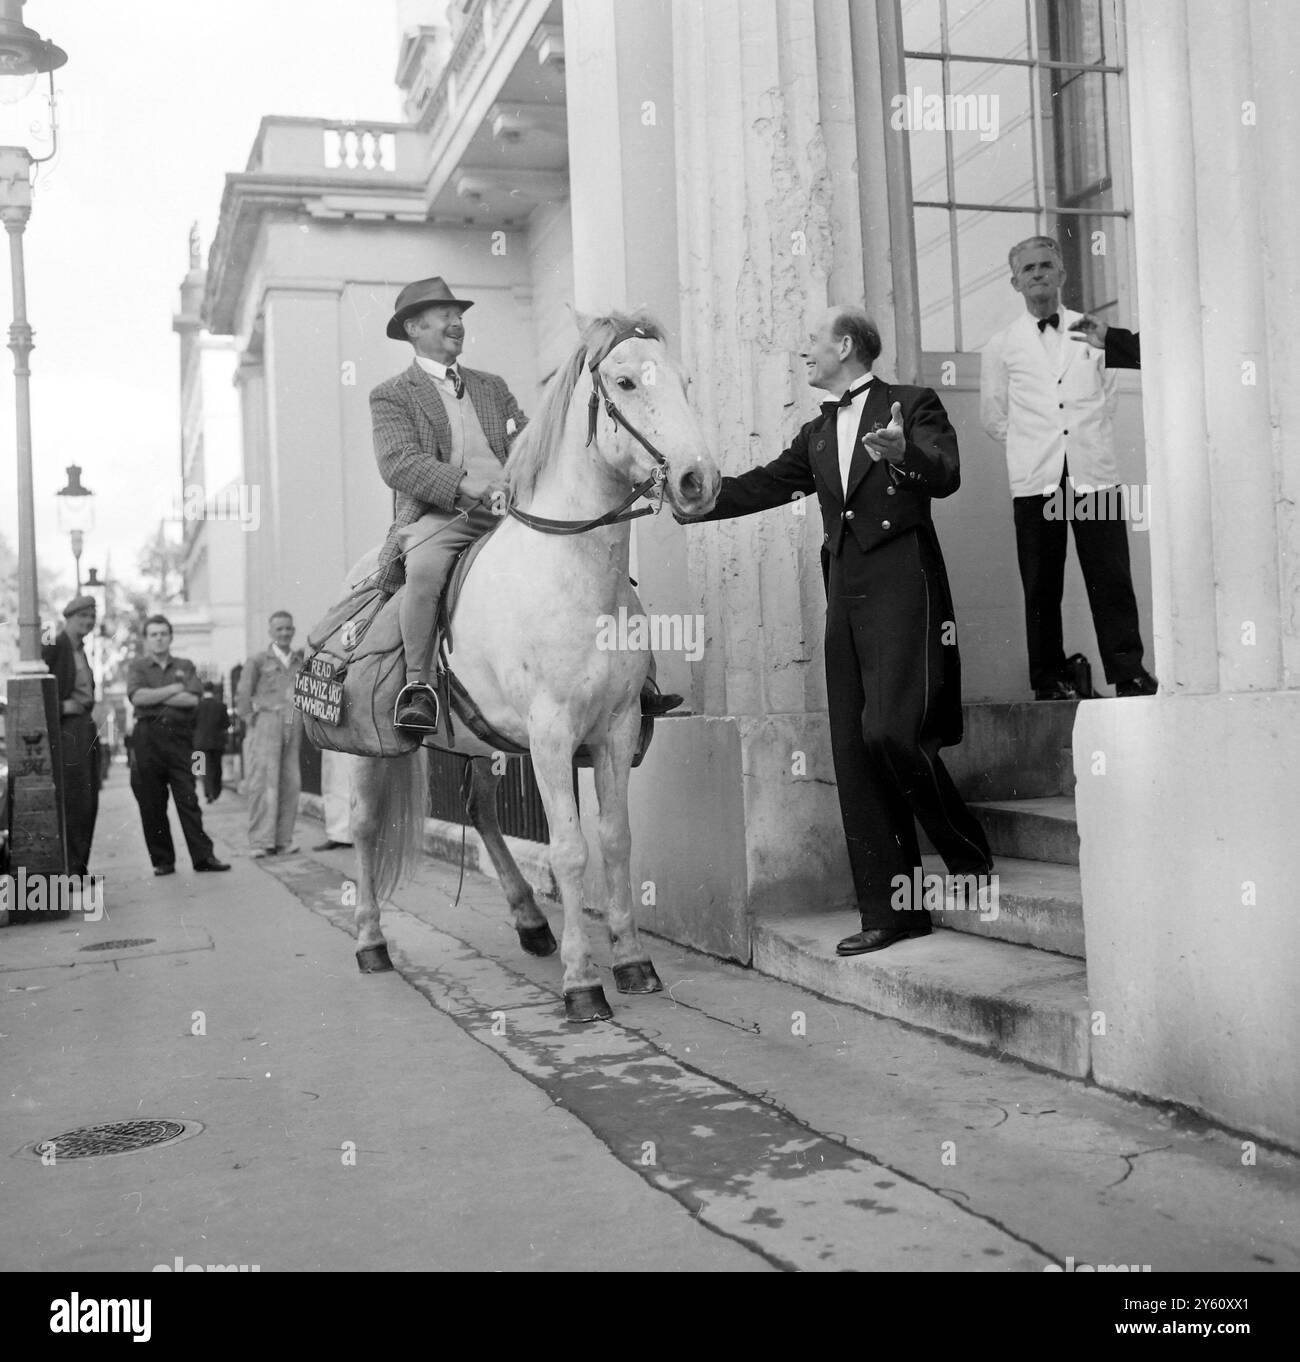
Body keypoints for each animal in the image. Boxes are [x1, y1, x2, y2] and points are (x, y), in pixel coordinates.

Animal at [348, 313, 719, 1024]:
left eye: (688, 380)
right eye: (625, 382)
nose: (699, 480)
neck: (575, 577)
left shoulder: (615, 729)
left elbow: (616, 839)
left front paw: (633, 962)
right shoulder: (551, 734)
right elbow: (570, 850)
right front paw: (583, 983)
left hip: (480, 742)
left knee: (483, 813)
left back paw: (530, 922)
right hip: (363, 751)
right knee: (363, 827)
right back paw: (371, 943)